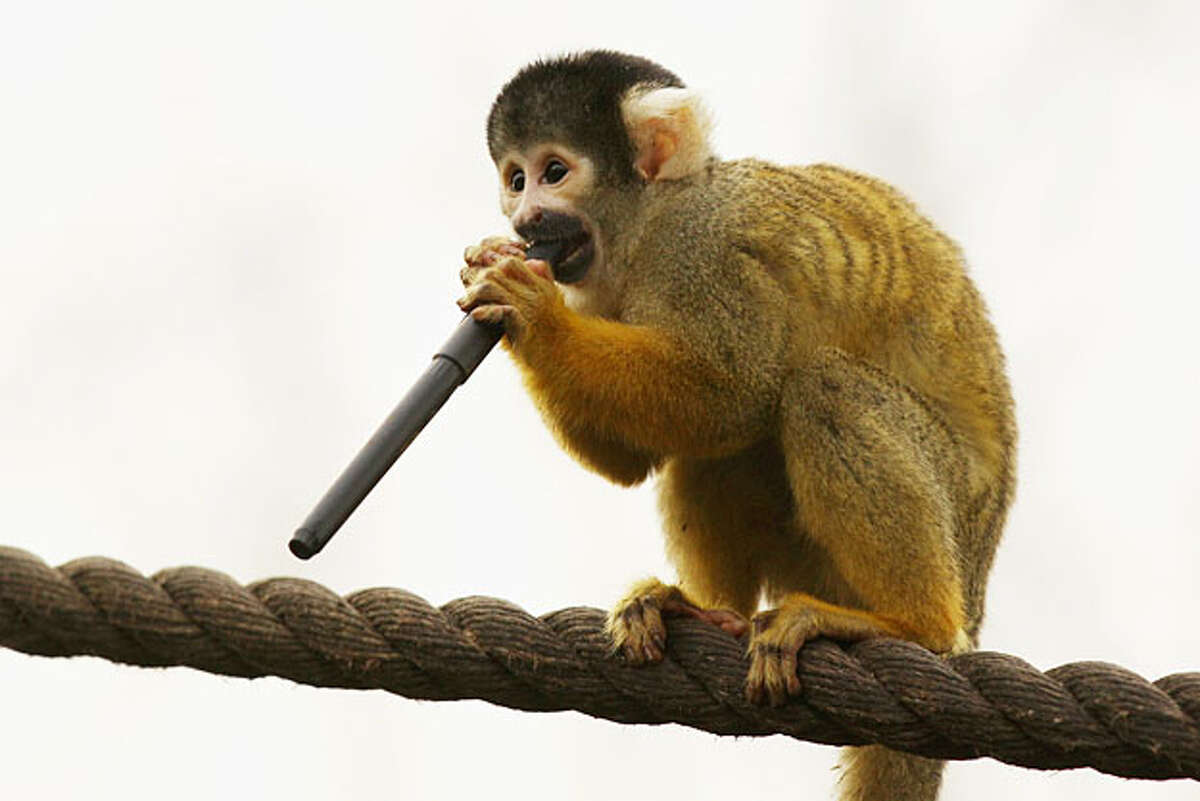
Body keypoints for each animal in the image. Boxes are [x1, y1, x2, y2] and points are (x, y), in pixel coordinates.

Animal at [457, 51, 1015, 801]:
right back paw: (707, 608)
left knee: (815, 387)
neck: (646, 224)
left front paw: (532, 312)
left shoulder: (703, 251)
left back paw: (910, 625)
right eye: (514, 179)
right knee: (724, 446)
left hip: (957, 511)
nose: (524, 218)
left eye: (553, 171)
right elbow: (641, 457)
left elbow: (733, 391)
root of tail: (976, 585)